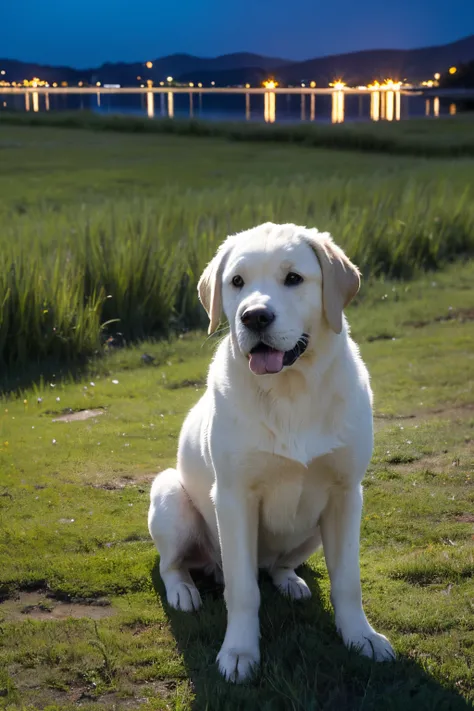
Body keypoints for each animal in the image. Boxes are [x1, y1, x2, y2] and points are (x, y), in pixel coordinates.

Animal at [147, 224, 392, 684]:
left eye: (293, 278)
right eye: (237, 282)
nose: (255, 317)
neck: (290, 390)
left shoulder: (347, 494)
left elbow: (347, 582)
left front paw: (362, 637)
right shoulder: (234, 498)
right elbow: (242, 590)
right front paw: (239, 653)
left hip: (311, 530)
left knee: (278, 564)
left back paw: (289, 581)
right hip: (169, 495)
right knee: (173, 565)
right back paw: (184, 591)